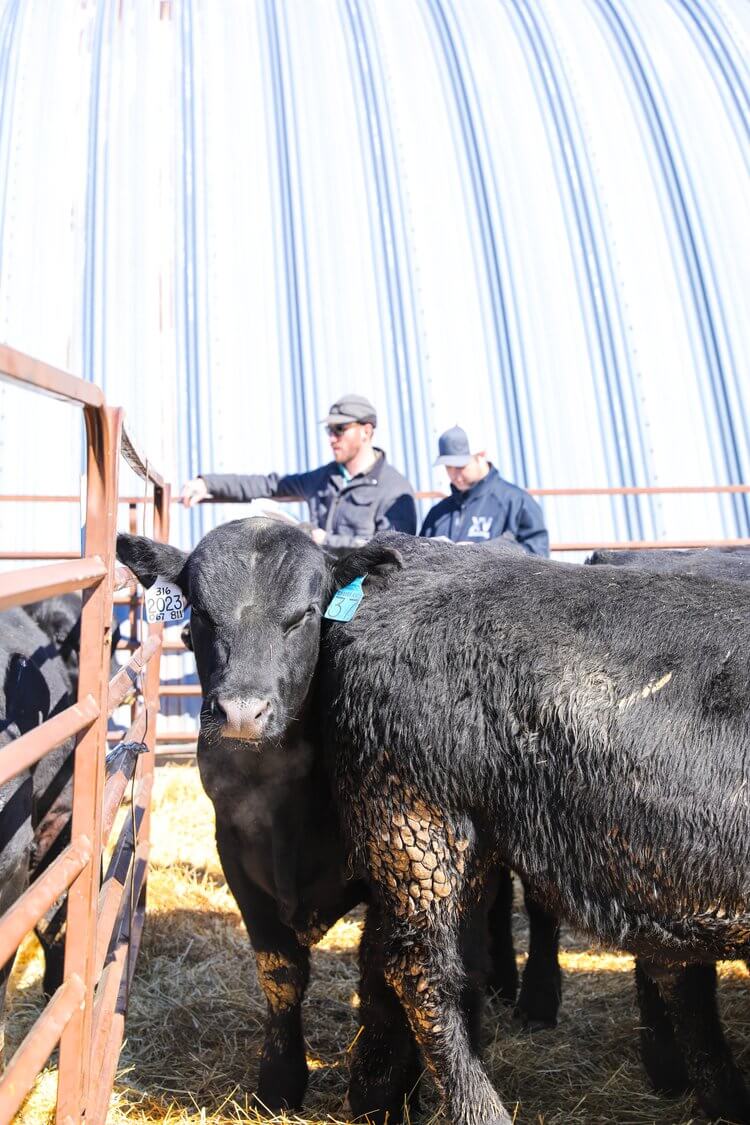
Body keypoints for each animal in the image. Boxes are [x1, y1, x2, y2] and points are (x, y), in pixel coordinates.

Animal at [116, 519, 561, 1120]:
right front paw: (279, 1083)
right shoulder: (234, 851)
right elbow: (281, 973)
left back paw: (531, 998)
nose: (242, 713)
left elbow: (381, 978)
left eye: (305, 613)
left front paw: (382, 1094)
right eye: (202, 612)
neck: (285, 802)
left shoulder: (392, 857)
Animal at [313, 532, 750, 1125]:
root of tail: (409, 554)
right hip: (415, 821)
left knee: (384, 954)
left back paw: (375, 1100)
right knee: (422, 970)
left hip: (445, 844)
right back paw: (479, 1108)